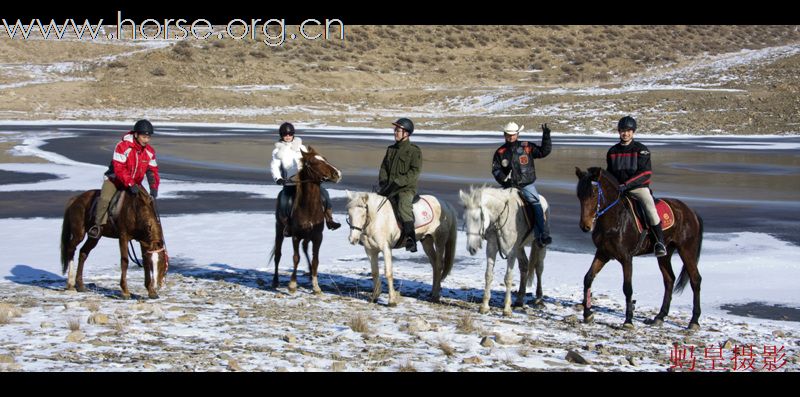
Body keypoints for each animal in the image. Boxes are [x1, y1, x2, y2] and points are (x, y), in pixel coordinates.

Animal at [270, 147, 342, 292]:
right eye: (314, 162)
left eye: (325, 159)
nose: (337, 174)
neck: (308, 207)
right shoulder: (296, 236)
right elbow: (296, 258)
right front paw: (292, 284)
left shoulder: (317, 236)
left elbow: (315, 260)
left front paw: (316, 286)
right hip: (279, 229)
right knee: (278, 254)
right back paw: (275, 282)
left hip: (307, 235)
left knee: (304, 248)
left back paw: (309, 274)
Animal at [456, 186, 552, 316]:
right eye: (465, 219)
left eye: (477, 219)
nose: (472, 248)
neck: (499, 218)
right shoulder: (491, 248)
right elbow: (488, 275)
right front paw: (484, 307)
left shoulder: (511, 253)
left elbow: (508, 278)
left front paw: (506, 309)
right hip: (519, 248)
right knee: (524, 266)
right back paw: (519, 301)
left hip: (539, 245)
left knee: (539, 268)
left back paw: (538, 299)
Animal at [576, 166, 700, 330]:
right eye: (579, 195)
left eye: (594, 194)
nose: (585, 226)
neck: (616, 219)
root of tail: (690, 212)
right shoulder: (603, 253)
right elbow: (588, 278)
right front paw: (587, 314)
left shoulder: (626, 258)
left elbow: (627, 288)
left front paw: (628, 321)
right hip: (665, 255)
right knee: (669, 280)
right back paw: (659, 317)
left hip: (687, 250)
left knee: (695, 280)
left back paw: (694, 321)